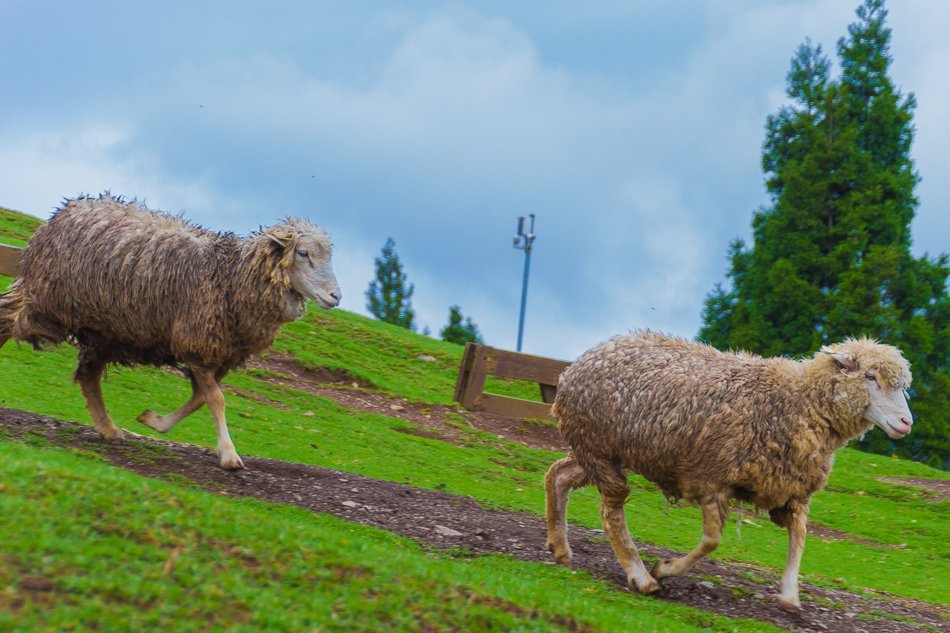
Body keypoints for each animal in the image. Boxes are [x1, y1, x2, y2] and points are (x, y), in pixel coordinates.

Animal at [0, 193, 342, 470]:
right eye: (303, 253)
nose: (336, 296)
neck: (231, 276)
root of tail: (68, 209)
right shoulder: (196, 344)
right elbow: (215, 399)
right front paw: (229, 455)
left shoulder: (217, 354)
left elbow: (200, 399)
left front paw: (154, 421)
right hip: (46, 303)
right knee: (7, 317)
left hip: (107, 330)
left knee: (89, 375)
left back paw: (108, 428)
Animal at [548, 334, 920, 608]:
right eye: (870, 377)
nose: (906, 423)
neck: (798, 403)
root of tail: (585, 358)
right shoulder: (710, 479)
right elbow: (712, 540)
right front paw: (665, 569)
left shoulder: (790, 491)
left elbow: (800, 536)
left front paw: (789, 594)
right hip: (597, 447)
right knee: (611, 511)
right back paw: (642, 577)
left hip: (597, 450)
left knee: (557, 474)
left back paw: (560, 549)